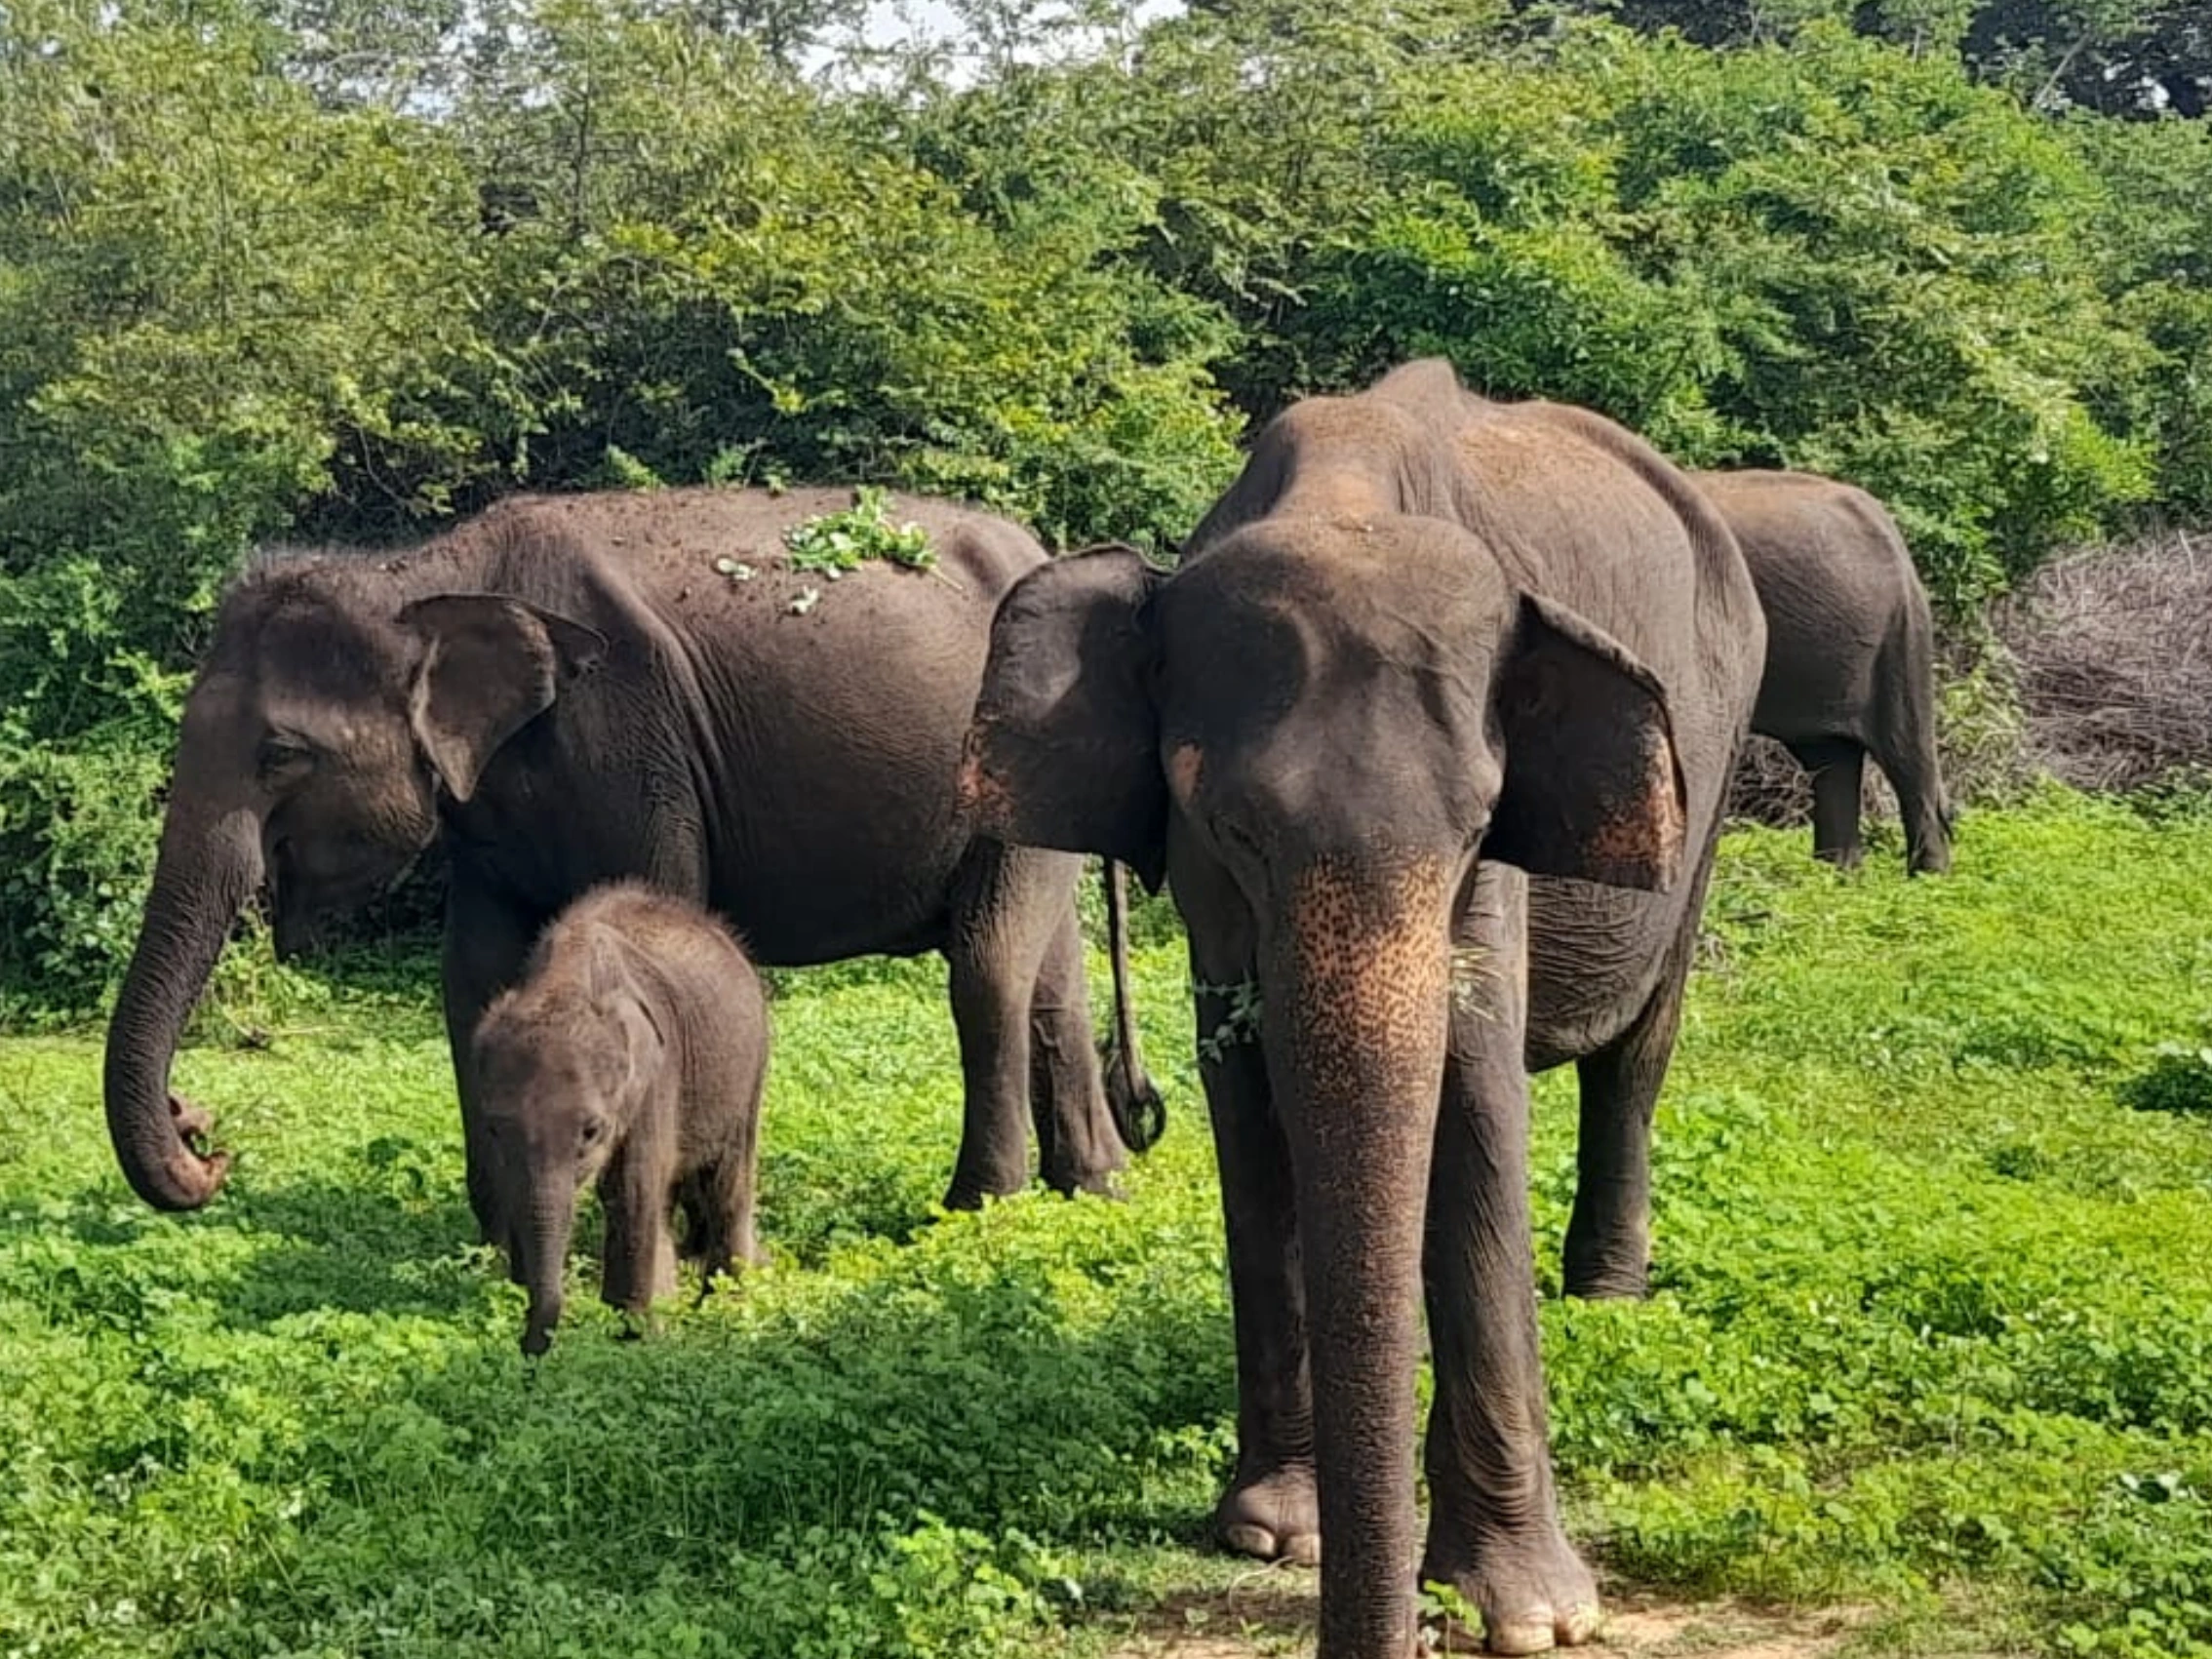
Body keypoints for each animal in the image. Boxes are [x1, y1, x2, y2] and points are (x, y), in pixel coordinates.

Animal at [102, 486, 1159, 1236]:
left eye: (280, 755)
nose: (206, 1134)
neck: (424, 571)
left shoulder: (630, 741)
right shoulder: (489, 815)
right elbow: (473, 979)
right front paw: (501, 1246)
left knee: (986, 970)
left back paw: (977, 1210)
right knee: (1047, 973)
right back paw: (1096, 1189)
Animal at [472, 881, 768, 1357]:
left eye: (591, 1131)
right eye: (495, 1130)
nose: (526, 1350)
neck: (563, 982)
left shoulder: (654, 1078)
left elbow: (629, 1187)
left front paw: (631, 1338)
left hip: (750, 1064)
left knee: (727, 1181)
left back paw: (720, 1307)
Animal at [960, 360, 1764, 1657]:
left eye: (1479, 824)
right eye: (1232, 826)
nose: (1403, 1632)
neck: (1344, 493)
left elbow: (1474, 1089)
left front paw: (1524, 1615)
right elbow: (1245, 1102)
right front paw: (1273, 1535)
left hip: (1723, 762)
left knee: (1639, 1050)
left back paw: (1605, 1294)